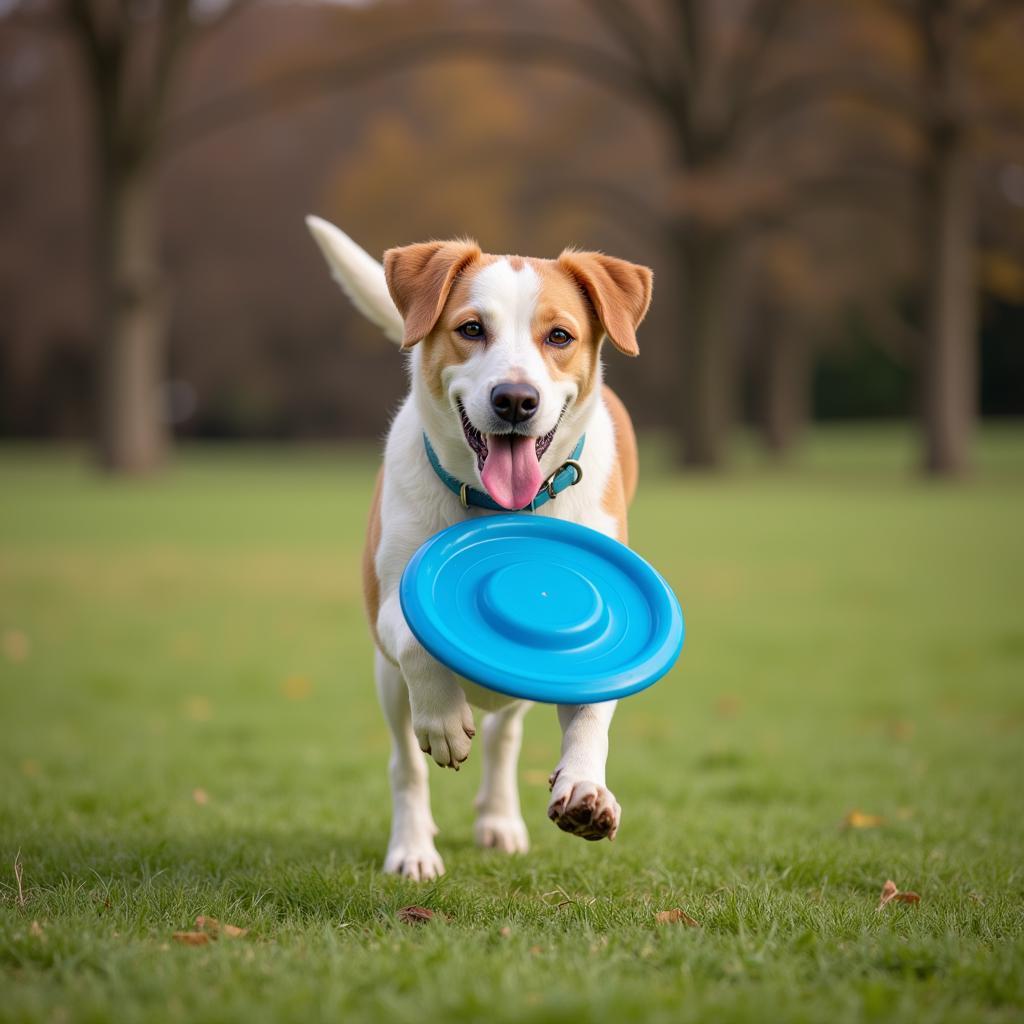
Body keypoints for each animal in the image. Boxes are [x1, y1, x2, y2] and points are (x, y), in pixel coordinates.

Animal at [307, 218, 651, 880]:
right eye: (471, 329)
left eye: (560, 336)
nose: (515, 399)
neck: (498, 508)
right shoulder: (389, 610)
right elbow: (417, 641)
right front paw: (443, 720)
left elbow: (592, 714)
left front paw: (585, 789)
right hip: (386, 684)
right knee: (405, 765)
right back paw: (413, 847)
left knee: (503, 739)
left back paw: (499, 819)